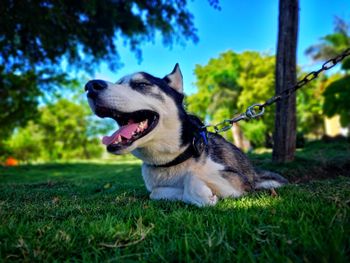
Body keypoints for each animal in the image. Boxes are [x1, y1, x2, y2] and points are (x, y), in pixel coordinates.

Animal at [85, 65, 288, 207]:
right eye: (119, 83)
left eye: (141, 84)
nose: (90, 86)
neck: (172, 159)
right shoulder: (156, 189)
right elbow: (156, 193)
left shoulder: (237, 179)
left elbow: (192, 175)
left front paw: (200, 192)